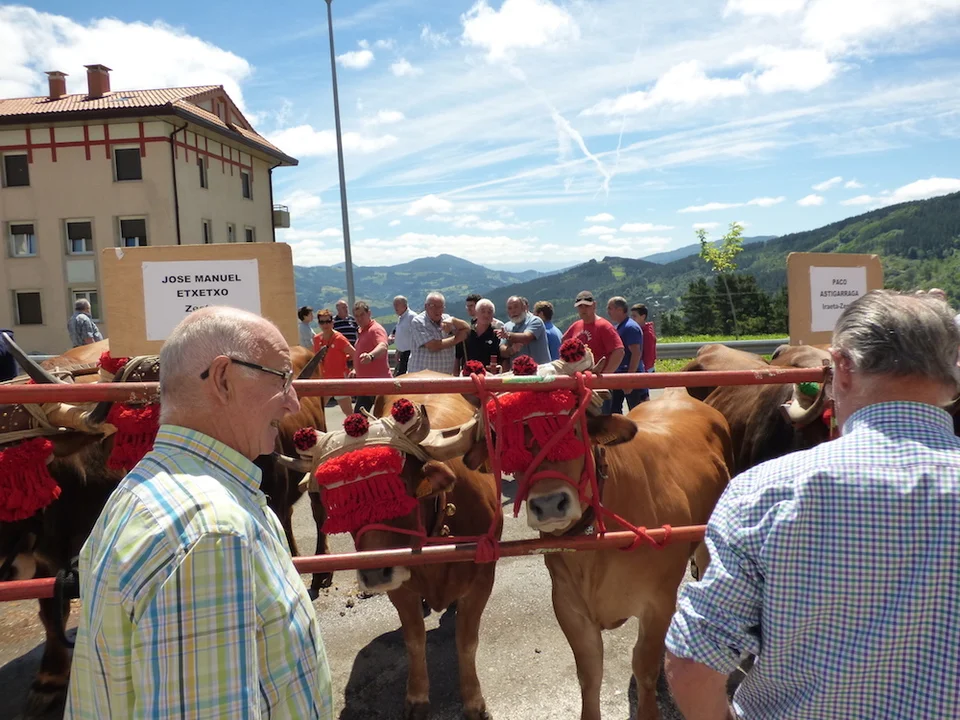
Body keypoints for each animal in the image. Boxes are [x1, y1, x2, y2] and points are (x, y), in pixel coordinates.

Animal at [289, 374, 502, 720]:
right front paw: (417, 698)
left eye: (401, 491)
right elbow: (414, 640)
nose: (375, 575)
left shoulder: (483, 577)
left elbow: (467, 641)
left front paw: (474, 702)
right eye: (342, 504)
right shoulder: (401, 589)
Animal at [458, 341, 734, 720]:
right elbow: (589, 674)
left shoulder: (658, 602)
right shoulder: (569, 606)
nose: (549, 504)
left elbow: (644, 667)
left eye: (576, 432)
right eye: (511, 447)